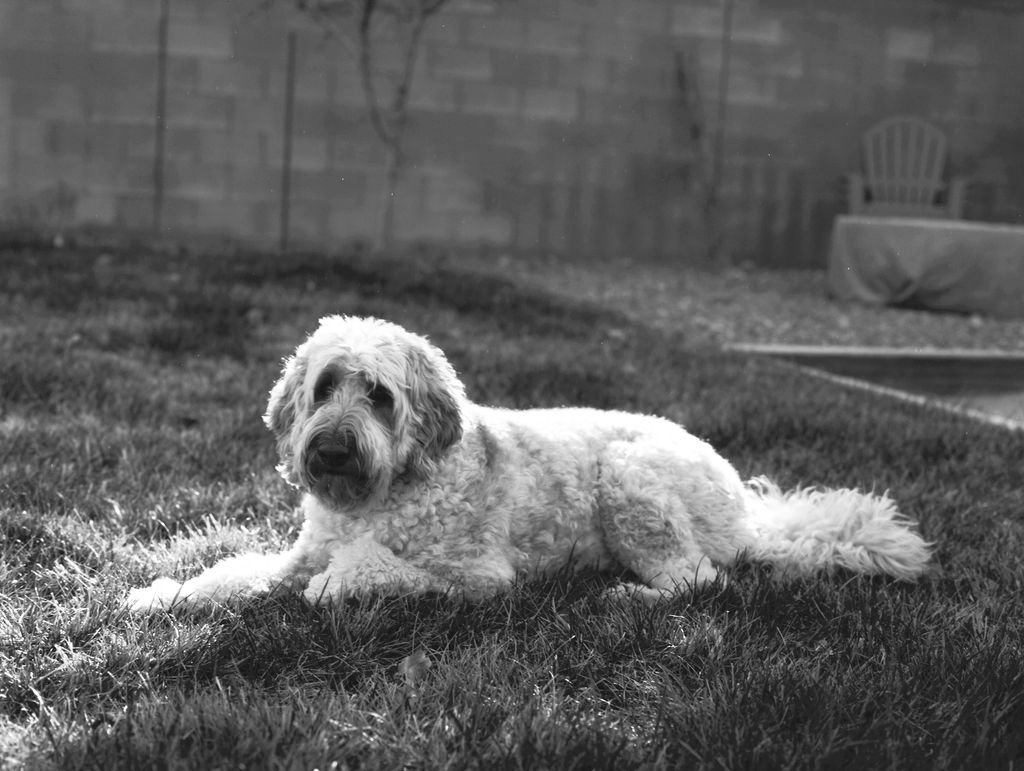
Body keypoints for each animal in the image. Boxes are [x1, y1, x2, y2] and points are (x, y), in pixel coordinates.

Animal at [125, 311, 929, 606]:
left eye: (378, 396)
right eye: (324, 388)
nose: (326, 448)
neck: (381, 494)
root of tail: (747, 507)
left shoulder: (479, 578)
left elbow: (371, 569)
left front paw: (341, 583)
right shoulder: (293, 556)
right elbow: (232, 573)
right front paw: (162, 595)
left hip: (630, 480)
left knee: (699, 579)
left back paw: (630, 598)